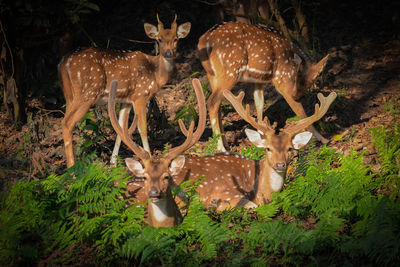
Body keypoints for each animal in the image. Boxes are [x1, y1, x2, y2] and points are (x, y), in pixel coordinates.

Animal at [58, 14, 191, 168]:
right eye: (159, 39)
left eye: (176, 39)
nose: (168, 53)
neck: (155, 73)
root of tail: (63, 63)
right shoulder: (140, 95)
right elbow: (142, 128)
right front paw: (149, 156)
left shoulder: (126, 100)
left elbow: (121, 129)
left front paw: (113, 162)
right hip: (87, 93)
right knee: (67, 123)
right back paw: (71, 167)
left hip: (69, 96)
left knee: (65, 121)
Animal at [198, 21, 332, 152]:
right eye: (313, 79)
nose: (297, 96)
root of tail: (203, 41)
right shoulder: (282, 78)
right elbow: (301, 111)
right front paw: (323, 138)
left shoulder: (259, 80)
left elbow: (259, 102)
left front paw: (261, 135)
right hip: (229, 71)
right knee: (212, 102)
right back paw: (221, 147)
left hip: (212, 75)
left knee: (218, 105)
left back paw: (225, 143)